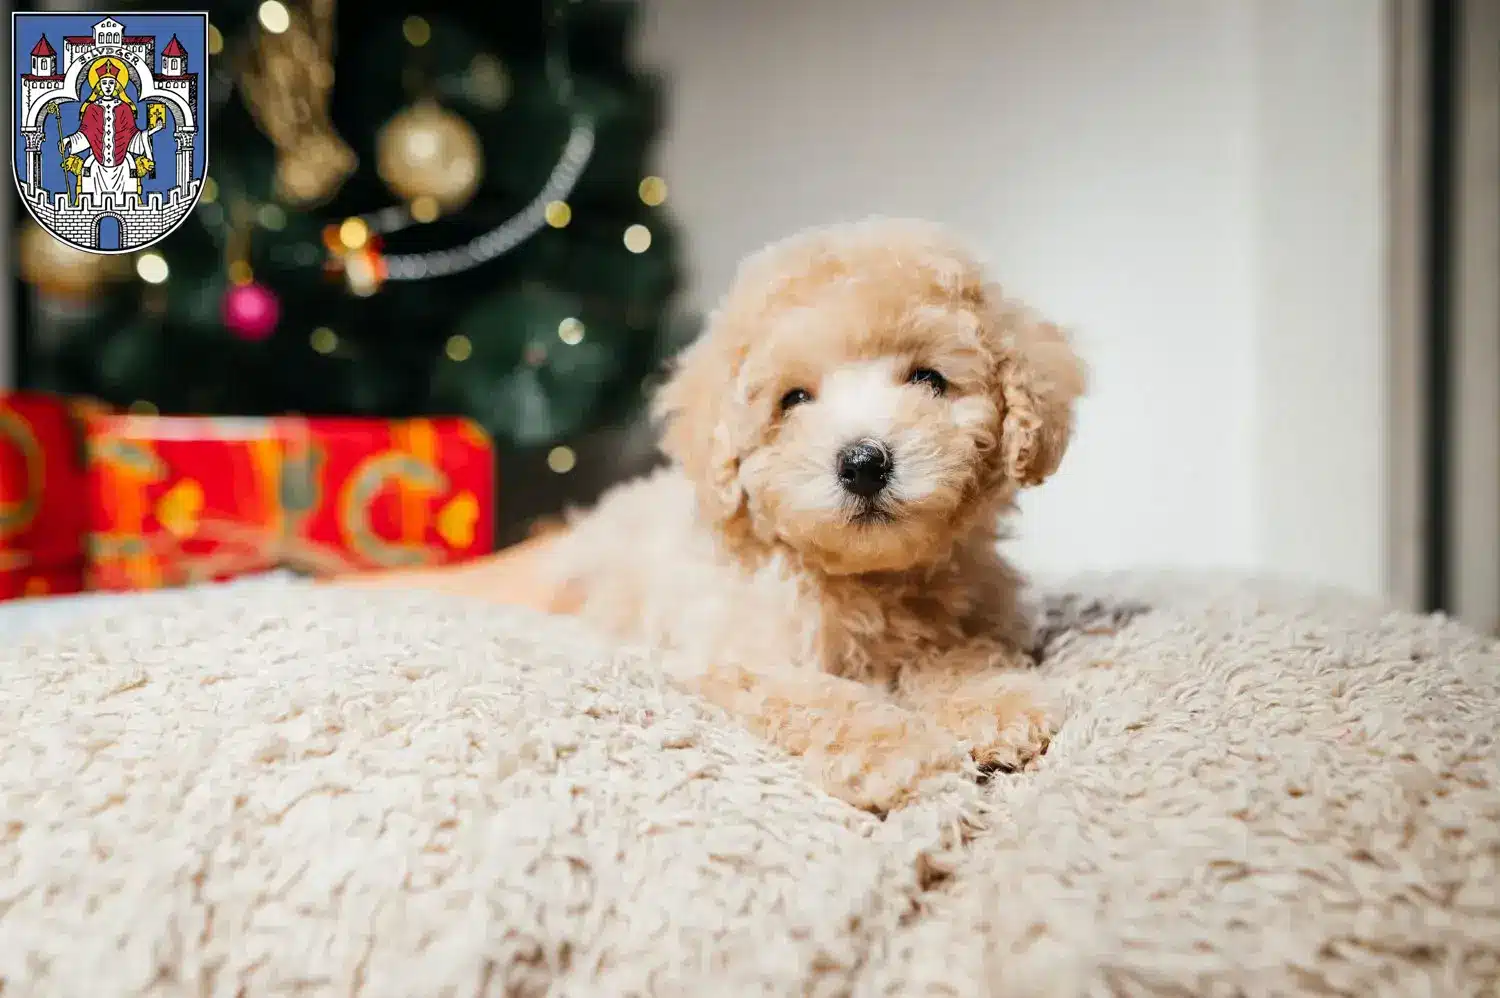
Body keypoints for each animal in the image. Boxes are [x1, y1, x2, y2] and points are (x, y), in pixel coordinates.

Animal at [546, 217, 1086, 810]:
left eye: (930, 379)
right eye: (793, 399)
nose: (864, 463)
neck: (868, 579)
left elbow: (958, 650)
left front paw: (993, 701)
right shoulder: (733, 657)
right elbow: (817, 696)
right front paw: (898, 752)